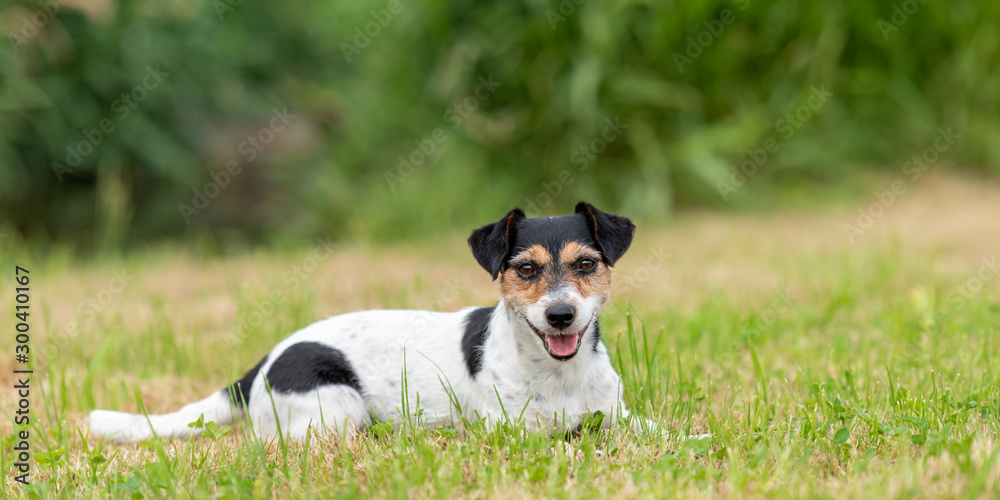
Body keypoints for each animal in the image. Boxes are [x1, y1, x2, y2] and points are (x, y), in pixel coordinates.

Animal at [90, 203, 644, 442]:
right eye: (526, 270)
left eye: (586, 264)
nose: (560, 315)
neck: (560, 376)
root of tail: (261, 366)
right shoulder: (515, 432)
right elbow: (572, 434)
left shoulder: (621, 415)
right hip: (339, 408)